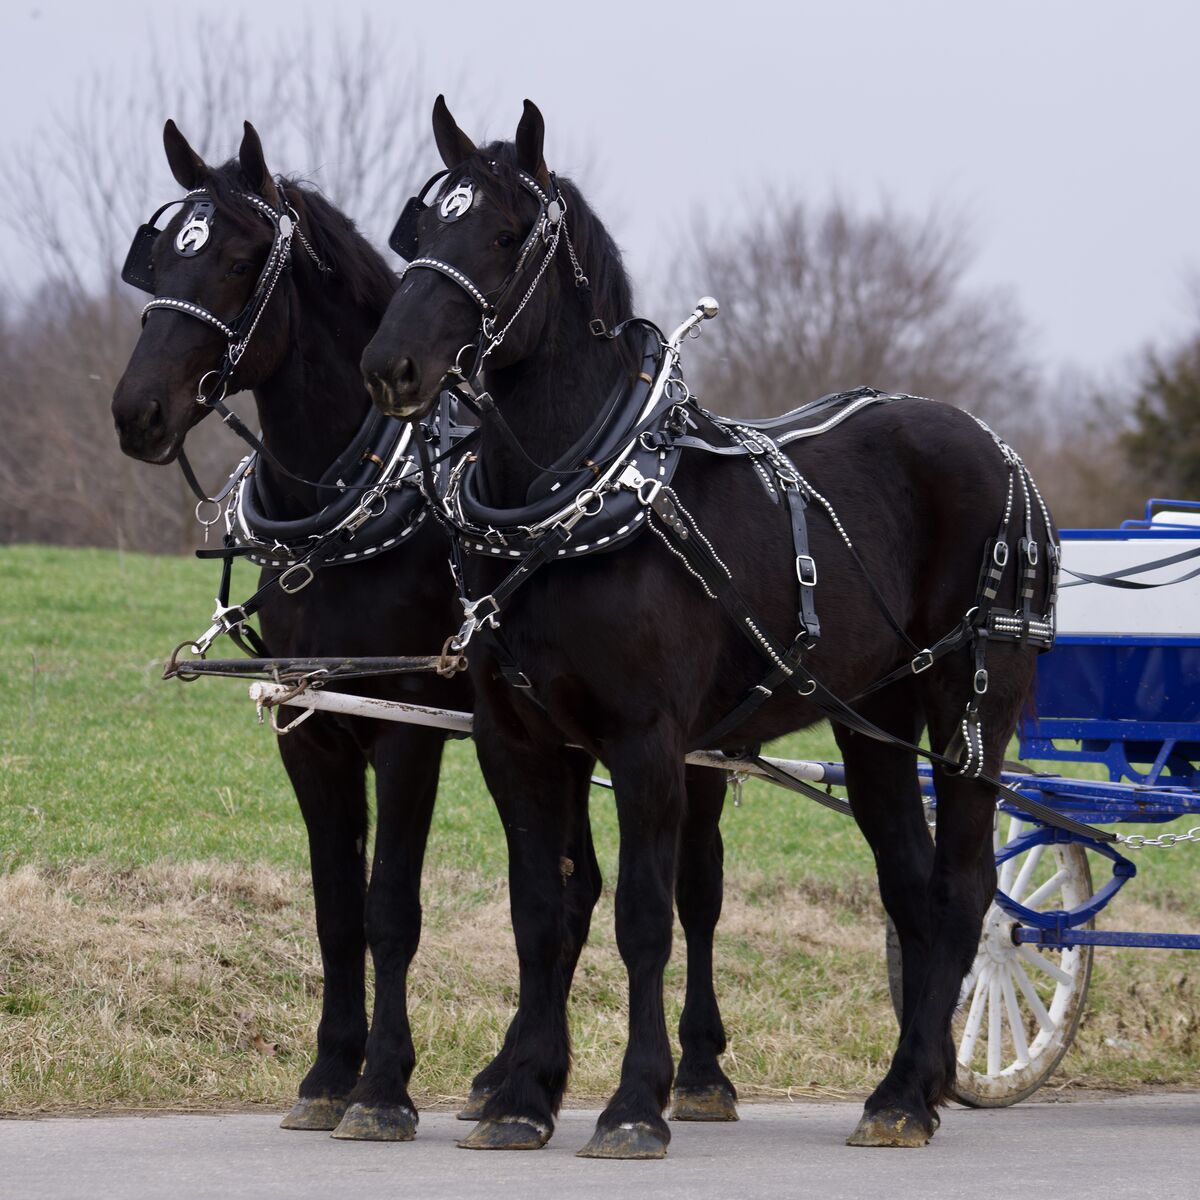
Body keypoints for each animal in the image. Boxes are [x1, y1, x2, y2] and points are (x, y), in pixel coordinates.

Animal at [110, 119, 736, 1141]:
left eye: (239, 261)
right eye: (159, 256)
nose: (137, 412)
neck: (348, 506)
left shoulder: (405, 724)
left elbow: (389, 910)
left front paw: (381, 1088)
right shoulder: (314, 725)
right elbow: (335, 910)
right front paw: (329, 1074)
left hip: (688, 741)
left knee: (695, 890)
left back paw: (701, 1071)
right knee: (576, 886)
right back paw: (511, 1076)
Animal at [360, 97, 1058, 1158]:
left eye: (506, 234)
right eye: (417, 229)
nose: (390, 366)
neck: (582, 497)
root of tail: (998, 447)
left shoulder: (648, 742)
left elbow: (644, 917)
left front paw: (635, 1103)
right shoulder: (515, 740)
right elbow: (541, 913)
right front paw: (522, 1095)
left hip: (972, 703)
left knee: (964, 889)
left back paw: (905, 1092)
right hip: (873, 717)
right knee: (909, 884)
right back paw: (917, 1082)